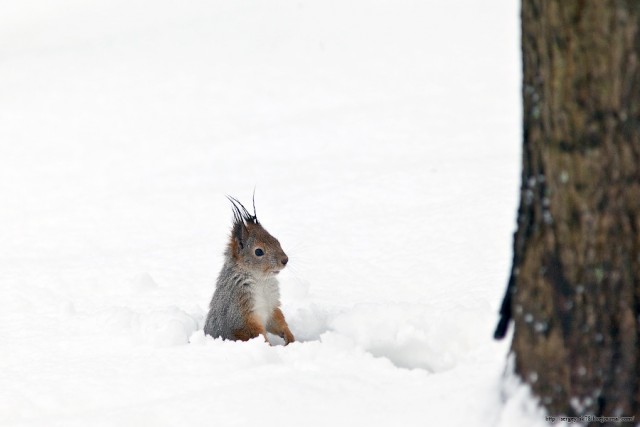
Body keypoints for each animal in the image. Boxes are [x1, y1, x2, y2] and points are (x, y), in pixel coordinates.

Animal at [204, 196, 296, 344]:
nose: (285, 260)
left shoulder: (271, 305)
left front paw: (289, 336)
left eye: (277, 241)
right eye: (258, 252)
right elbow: (253, 333)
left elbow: (277, 320)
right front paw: (267, 346)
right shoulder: (239, 310)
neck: (261, 281)